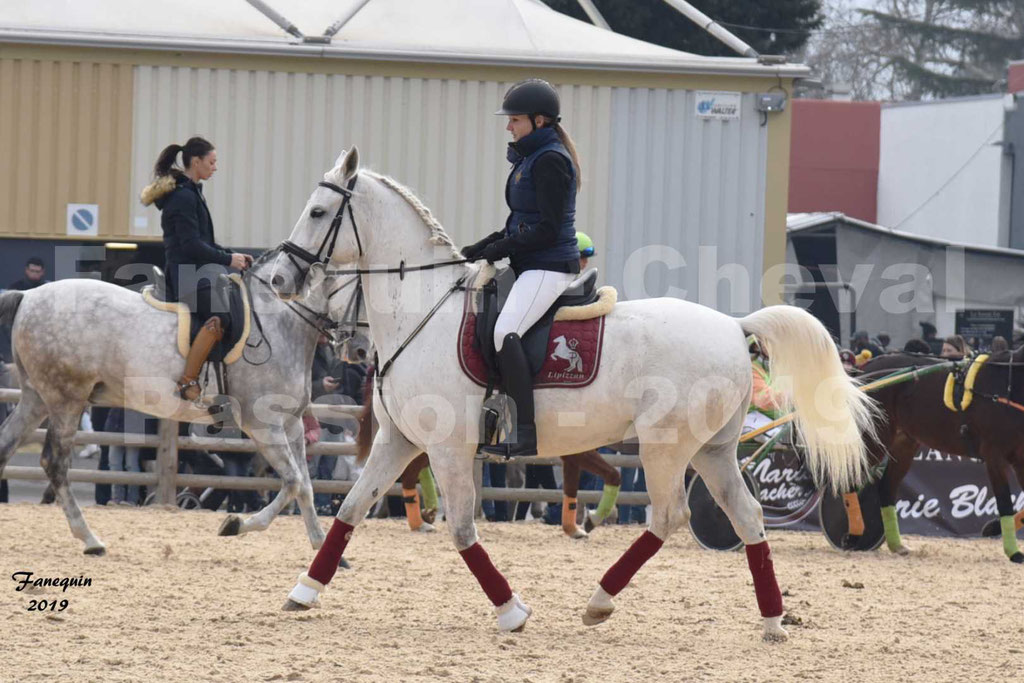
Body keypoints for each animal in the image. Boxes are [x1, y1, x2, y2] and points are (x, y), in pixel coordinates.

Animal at [356, 366, 618, 536]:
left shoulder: (574, 456)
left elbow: (573, 486)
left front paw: (575, 525)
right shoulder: (579, 454)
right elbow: (612, 474)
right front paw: (591, 520)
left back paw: (422, 517)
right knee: (411, 475)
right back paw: (422, 517)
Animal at [843, 350, 1024, 565]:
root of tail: (866, 370)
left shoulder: (1020, 459)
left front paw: (993, 528)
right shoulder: (994, 456)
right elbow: (1005, 501)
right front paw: (1013, 552)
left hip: (904, 443)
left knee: (886, 487)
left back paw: (897, 545)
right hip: (874, 438)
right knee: (849, 479)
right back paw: (853, 536)